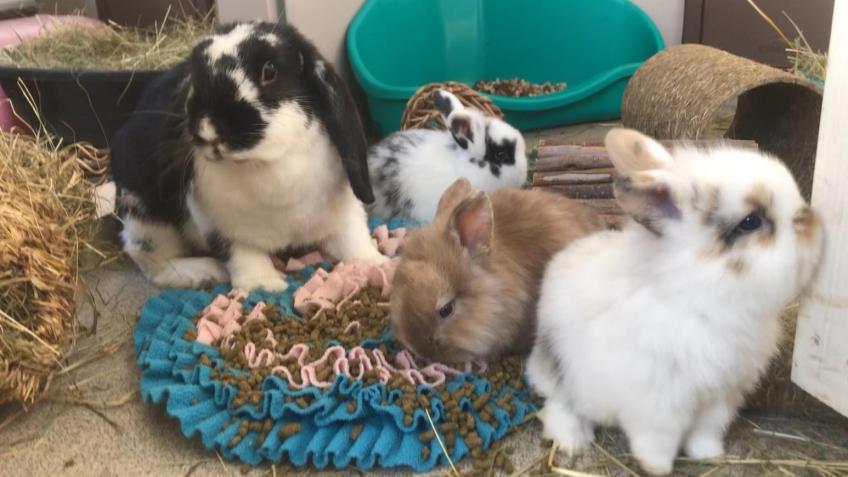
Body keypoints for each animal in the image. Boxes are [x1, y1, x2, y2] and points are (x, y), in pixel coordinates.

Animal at [110, 22, 385, 292]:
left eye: (269, 71)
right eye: (195, 78)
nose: (208, 131)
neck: (269, 163)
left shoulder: (344, 213)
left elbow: (354, 238)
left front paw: (376, 263)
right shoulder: (221, 228)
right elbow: (243, 255)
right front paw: (264, 285)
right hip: (146, 219)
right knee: (149, 257)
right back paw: (204, 272)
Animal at [526, 128, 826, 476]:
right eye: (750, 221)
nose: (813, 223)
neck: (702, 293)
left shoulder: (720, 396)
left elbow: (706, 431)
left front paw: (710, 455)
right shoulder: (658, 405)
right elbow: (658, 441)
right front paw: (657, 467)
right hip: (563, 372)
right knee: (559, 406)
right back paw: (573, 441)